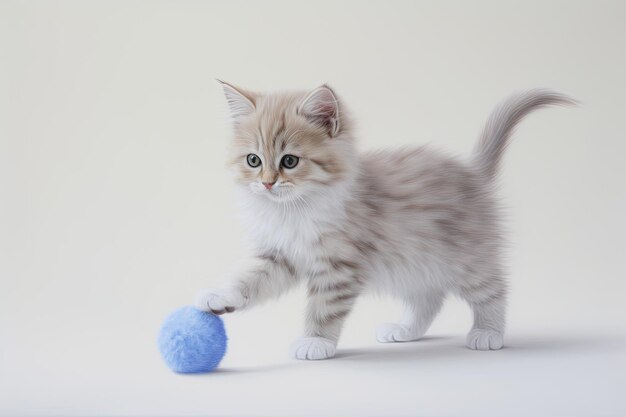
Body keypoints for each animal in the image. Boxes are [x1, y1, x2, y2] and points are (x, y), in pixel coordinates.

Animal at [194, 83, 572, 360]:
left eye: (289, 161)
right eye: (253, 160)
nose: (268, 183)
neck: (294, 210)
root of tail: (472, 171)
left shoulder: (339, 267)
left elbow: (324, 307)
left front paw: (316, 342)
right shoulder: (279, 255)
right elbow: (249, 279)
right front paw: (220, 296)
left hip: (465, 258)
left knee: (493, 290)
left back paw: (488, 333)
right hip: (414, 264)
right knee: (429, 299)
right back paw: (405, 331)